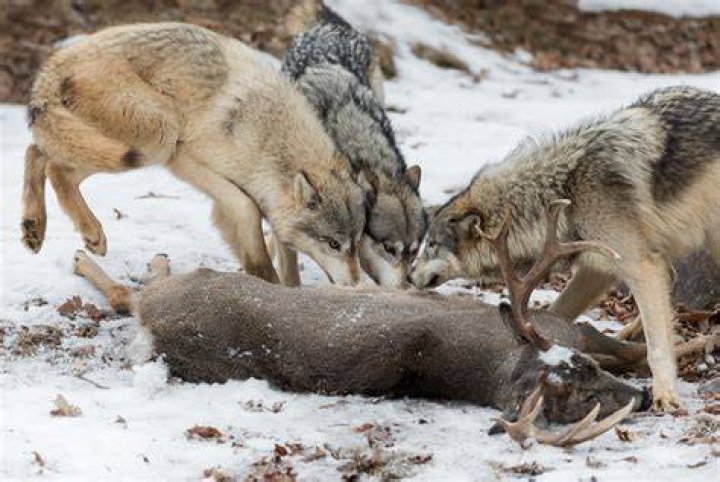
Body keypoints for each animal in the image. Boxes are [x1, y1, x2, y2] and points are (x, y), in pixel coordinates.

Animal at [21, 22, 370, 286]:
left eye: (355, 245)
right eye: (334, 244)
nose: (356, 283)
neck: (267, 139)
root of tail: (52, 66)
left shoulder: (267, 204)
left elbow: (288, 258)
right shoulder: (186, 159)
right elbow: (248, 214)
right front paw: (268, 288)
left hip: (130, 146)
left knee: (41, 155)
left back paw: (39, 230)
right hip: (158, 138)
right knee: (50, 163)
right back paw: (79, 232)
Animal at [409, 85, 720, 411]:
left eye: (431, 245)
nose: (408, 275)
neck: (562, 190)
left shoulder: (640, 266)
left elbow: (657, 347)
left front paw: (665, 395)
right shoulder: (598, 269)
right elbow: (555, 313)